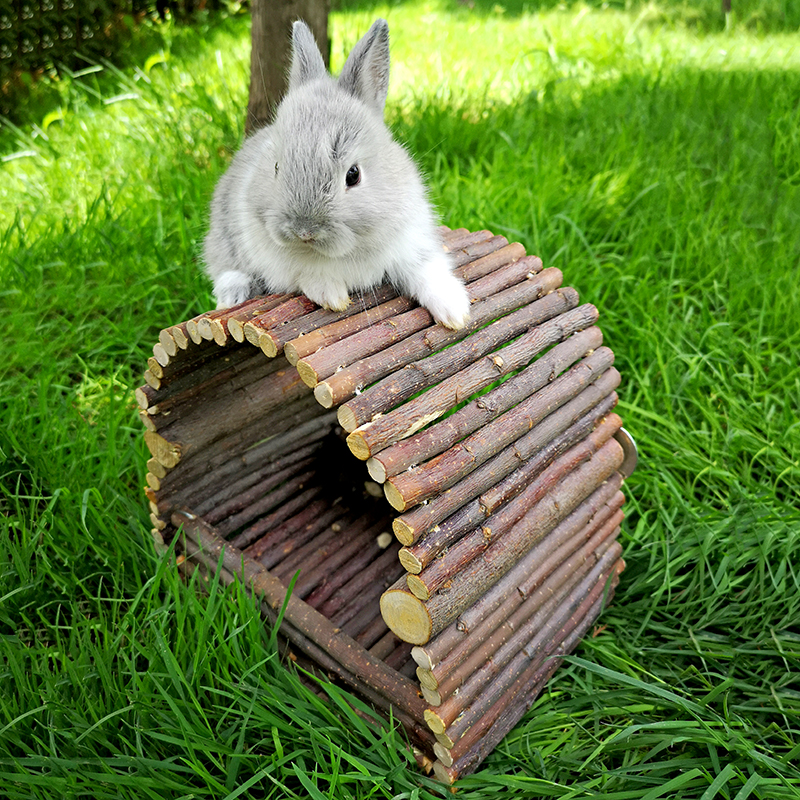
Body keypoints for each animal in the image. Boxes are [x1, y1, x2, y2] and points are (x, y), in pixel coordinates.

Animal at [203, 19, 472, 332]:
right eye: (276, 167)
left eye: (353, 175)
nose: (304, 230)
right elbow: (308, 276)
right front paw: (333, 296)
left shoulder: (413, 242)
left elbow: (427, 271)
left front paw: (455, 313)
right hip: (222, 234)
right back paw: (231, 296)